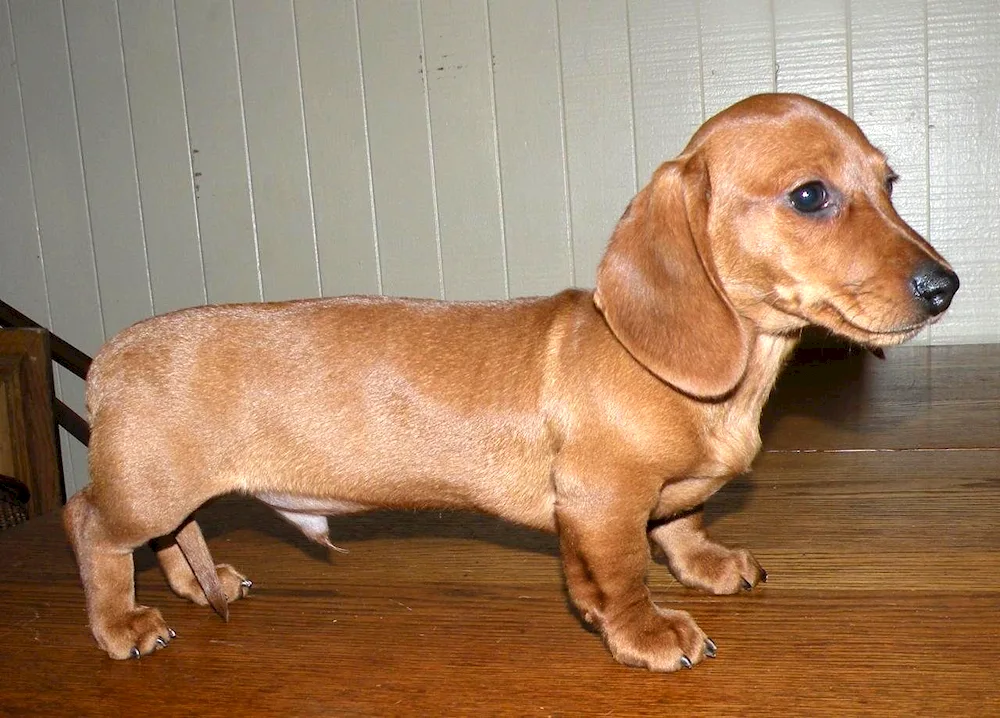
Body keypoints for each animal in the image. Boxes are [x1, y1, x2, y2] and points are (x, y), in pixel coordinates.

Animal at [66, 93, 956, 672]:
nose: (945, 287)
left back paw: (200, 583)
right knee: (93, 528)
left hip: (172, 492)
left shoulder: (669, 496)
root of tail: (109, 356)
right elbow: (622, 574)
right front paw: (648, 633)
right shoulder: (599, 501)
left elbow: (683, 524)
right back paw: (120, 624)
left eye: (889, 183)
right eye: (810, 195)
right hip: (146, 488)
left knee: (173, 536)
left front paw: (706, 564)